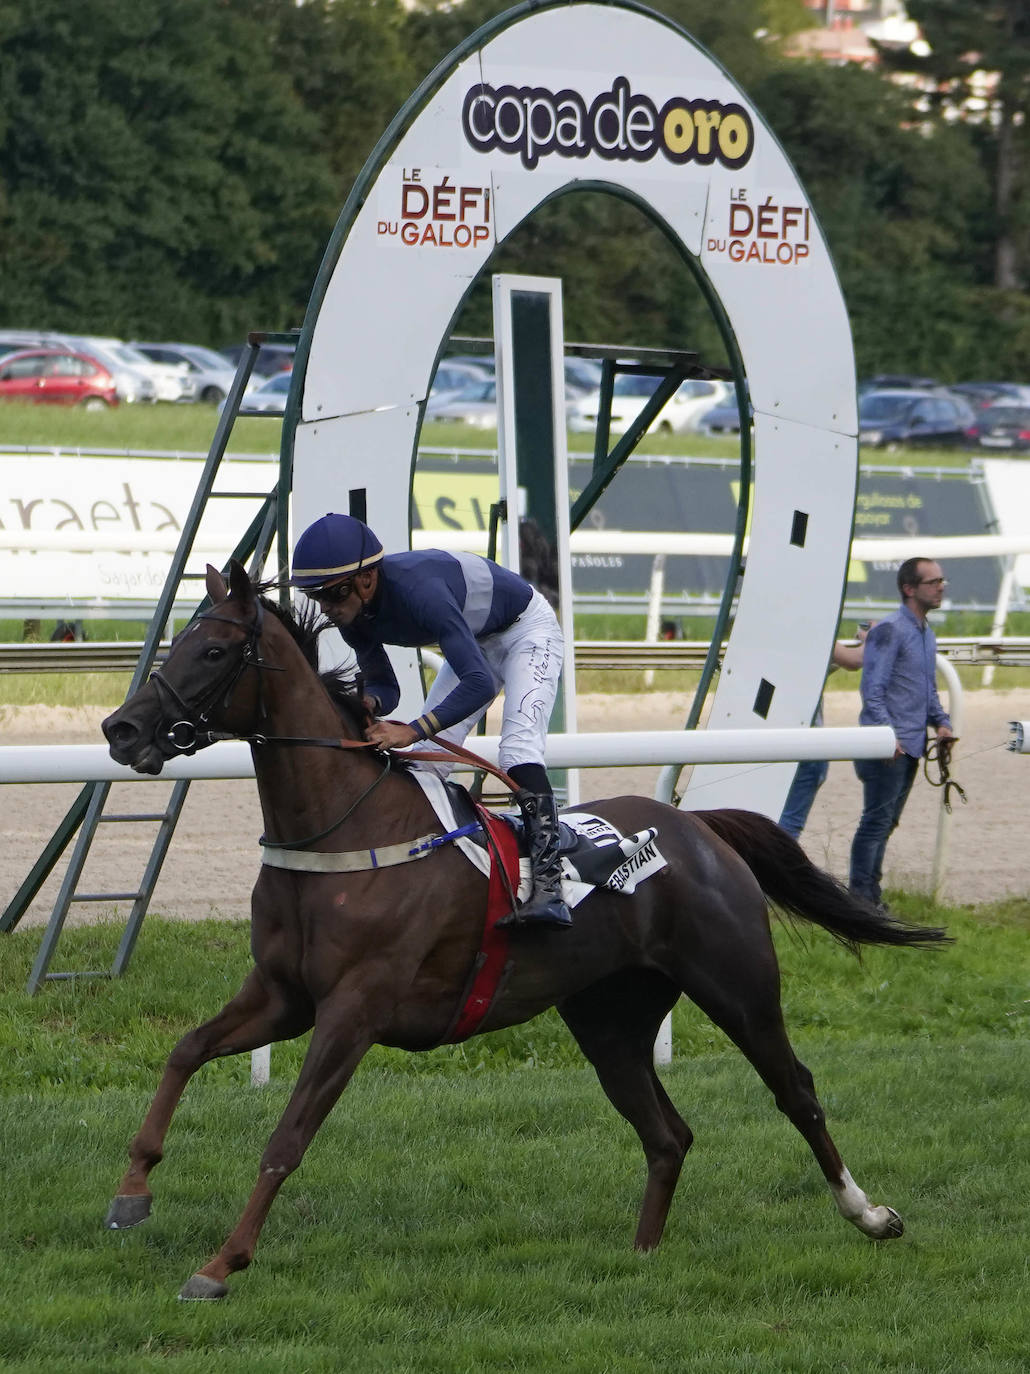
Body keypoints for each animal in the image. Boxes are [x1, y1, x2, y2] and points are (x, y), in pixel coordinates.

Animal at [103, 557, 950, 1297]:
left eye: (214, 650)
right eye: (176, 641)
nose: (121, 729)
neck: (340, 830)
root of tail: (696, 825)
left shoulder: (353, 1011)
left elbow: (286, 1139)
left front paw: (221, 1264)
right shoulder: (284, 995)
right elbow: (184, 1052)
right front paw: (132, 1191)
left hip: (737, 984)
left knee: (796, 1092)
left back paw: (870, 1214)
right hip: (608, 1018)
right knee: (667, 1133)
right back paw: (641, 1255)